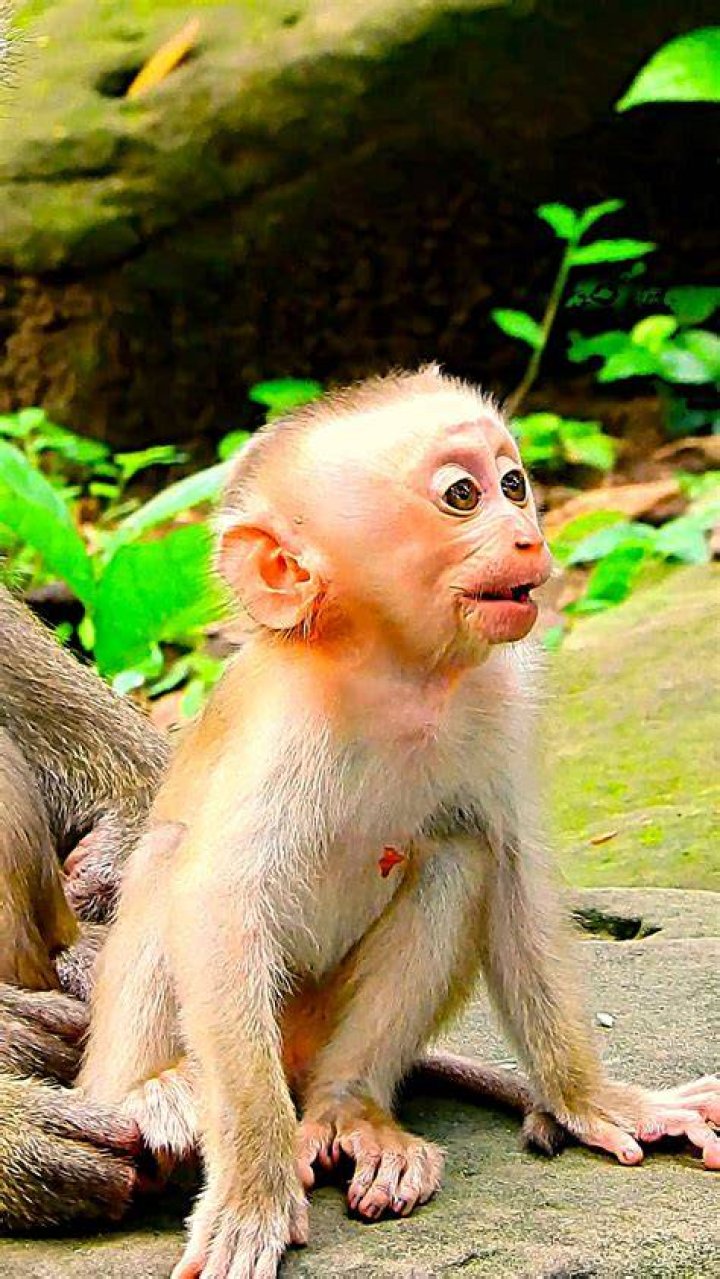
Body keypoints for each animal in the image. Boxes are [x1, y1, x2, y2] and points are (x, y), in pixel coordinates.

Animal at [79, 366, 720, 1279]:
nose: (528, 538)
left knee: (457, 852)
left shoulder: (505, 693)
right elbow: (219, 904)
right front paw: (253, 1192)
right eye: (462, 495)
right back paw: (157, 1091)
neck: (396, 672)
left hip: (317, 1037)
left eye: (514, 483)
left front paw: (599, 1100)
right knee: (172, 867)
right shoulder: (283, 726)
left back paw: (351, 1113)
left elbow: (515, 872)